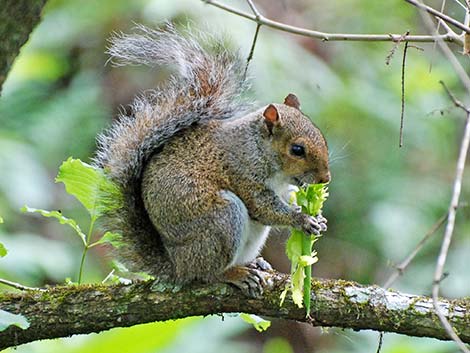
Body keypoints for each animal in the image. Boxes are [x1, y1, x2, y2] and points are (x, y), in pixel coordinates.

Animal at [94, 23, 330, 296]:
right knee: (206, 274)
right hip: (222, 221)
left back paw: (254, 263)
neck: (259, 149)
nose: (325, 178)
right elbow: (263, 207)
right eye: (297, 149)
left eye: (320, 134)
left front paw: (318, 216)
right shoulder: (243, 173)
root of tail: (177, 266)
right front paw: (302, 220)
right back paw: (235, 274)